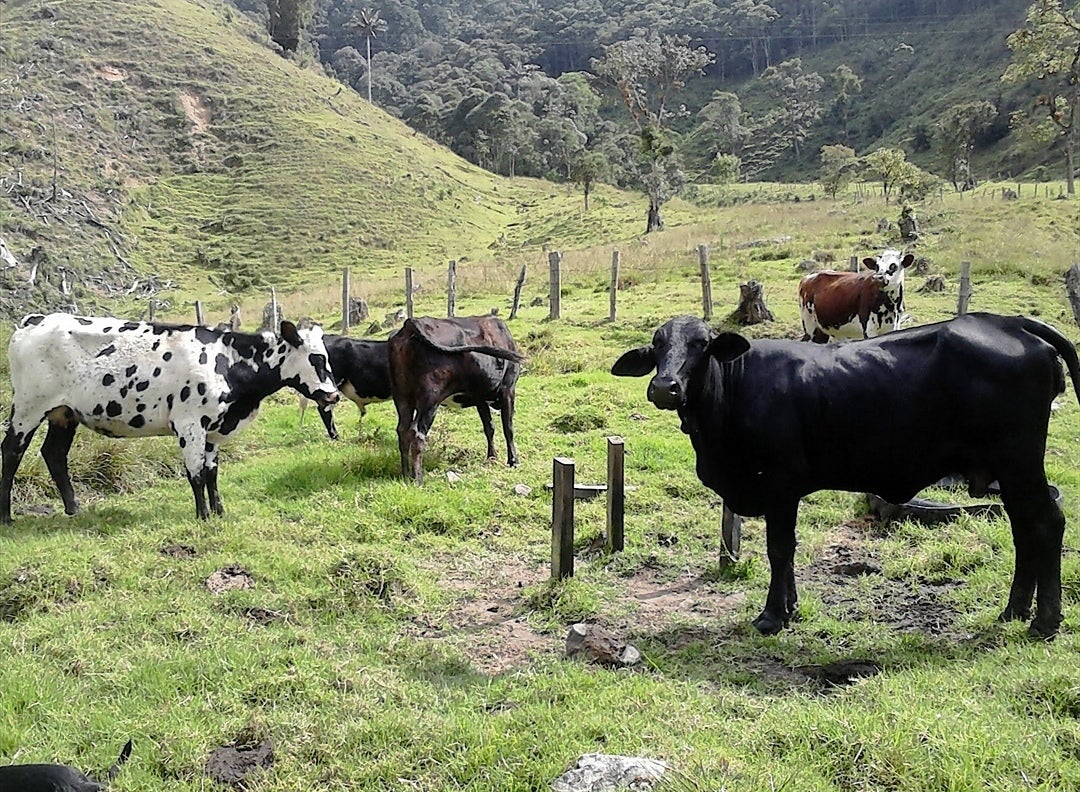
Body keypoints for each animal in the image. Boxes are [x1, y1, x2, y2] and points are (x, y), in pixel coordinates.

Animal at [0, 314, 339, 522]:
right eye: (316, 358)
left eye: (326, 356)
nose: (333, 395)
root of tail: (33, 321)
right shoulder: (190, 424)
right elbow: (196, 473)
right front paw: (203, 516)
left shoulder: (212, 429)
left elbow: (212, 472)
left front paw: (219, 511)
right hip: (28, 407)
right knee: (12, 450)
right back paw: (7, 516)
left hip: (64, 413)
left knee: (54, 454)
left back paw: (74, 509)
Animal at [388, 316, 524, 483]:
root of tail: (412, 323)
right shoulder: (508, 390)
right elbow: (508, 428)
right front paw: (513, 461)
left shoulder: (480, 398)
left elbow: (489, 427)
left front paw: (492, 457)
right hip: (430, 399)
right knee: (417, 433)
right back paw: (418, 479)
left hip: (402, 397)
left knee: (402, 430)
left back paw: (406, 474)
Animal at [612, 313, 1080, 638]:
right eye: (657, 345)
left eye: (702, 344)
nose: (665, 387)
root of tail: (1009, 322)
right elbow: (788, 552)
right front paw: (791, 607)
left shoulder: (780, 486)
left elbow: (779, 549)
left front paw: (772, 616)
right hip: (1010, 472)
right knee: (1024, 530)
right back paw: (1015, 610)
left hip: (1019, 462)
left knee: (1047, 523)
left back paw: (1044, 621)